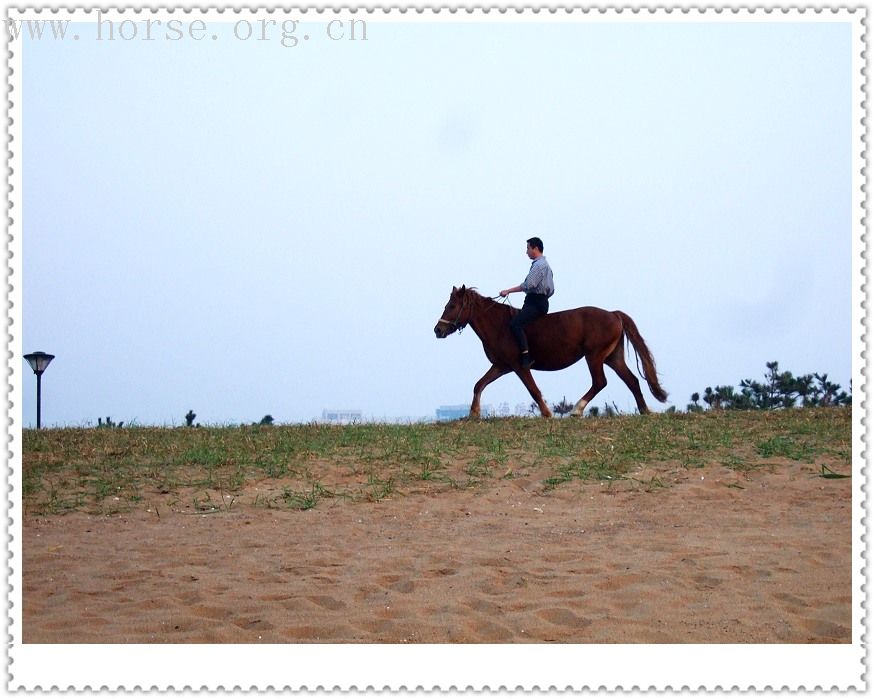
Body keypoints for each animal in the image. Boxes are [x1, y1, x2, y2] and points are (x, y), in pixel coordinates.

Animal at [430, 286, 668, 418]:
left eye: (452, 306)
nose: (438, 330)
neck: (500, 325)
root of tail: (613, 314)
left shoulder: (519, 366)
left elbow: (533, 390)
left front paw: (547, 413)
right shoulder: (501, 366)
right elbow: (479, 384)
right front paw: (473, 413)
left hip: (594, 356)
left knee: (600, 382)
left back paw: (576, 409)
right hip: (612, 357)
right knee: (632, 380)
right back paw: (645, 410)